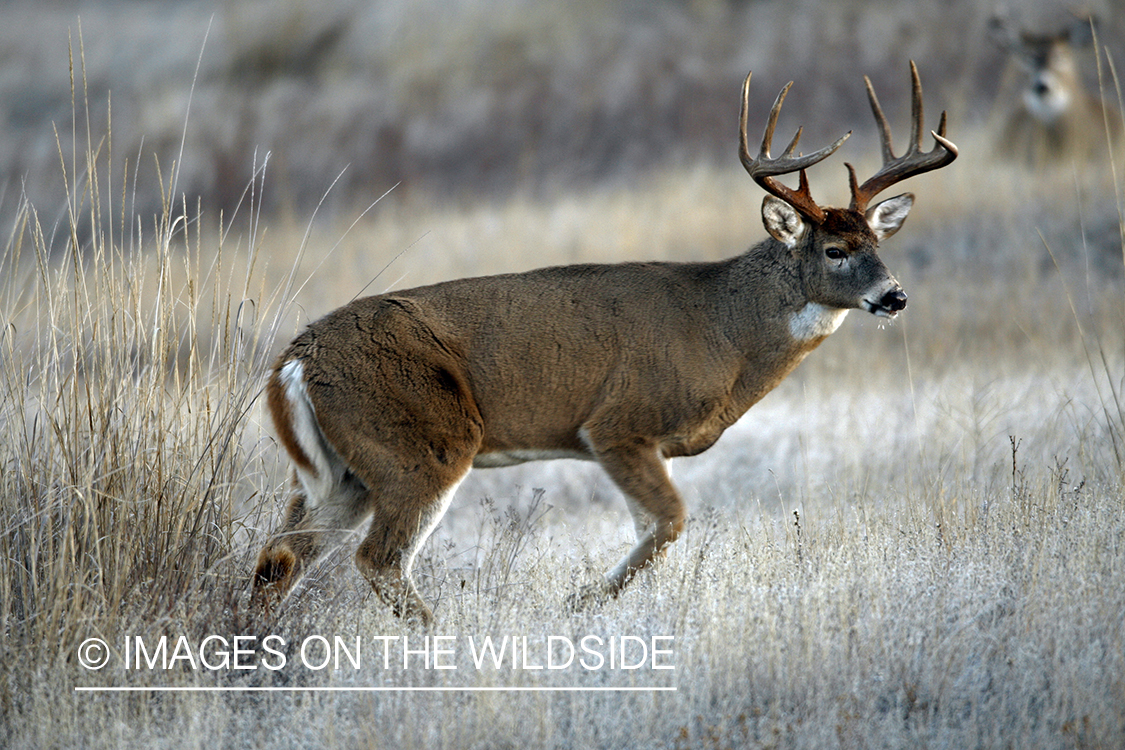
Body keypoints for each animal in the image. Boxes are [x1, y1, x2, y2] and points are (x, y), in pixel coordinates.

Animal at [253, 62, 958, 629]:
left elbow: (656, 526)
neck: (725, 333)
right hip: (424, 443)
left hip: (344, 471)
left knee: (281, 555)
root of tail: (296, 359)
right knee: (377, 559)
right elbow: (667, 523)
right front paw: (578, 602)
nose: (893, 296)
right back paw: (443, 637)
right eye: (835, 250)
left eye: (878, 243)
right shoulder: (618, 423)